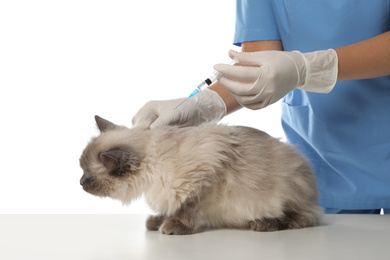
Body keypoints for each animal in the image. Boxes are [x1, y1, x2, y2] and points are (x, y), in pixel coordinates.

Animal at [80, 115, 322, 234]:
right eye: (81, 171)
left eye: (88, 177)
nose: (80, 182)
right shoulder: (172, 190)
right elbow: (169, 207)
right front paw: (157, 221)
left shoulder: (204, 178)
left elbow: (186, 208)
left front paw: (173, 227)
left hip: (286, 189)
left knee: (306, 217)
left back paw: (265, 224)